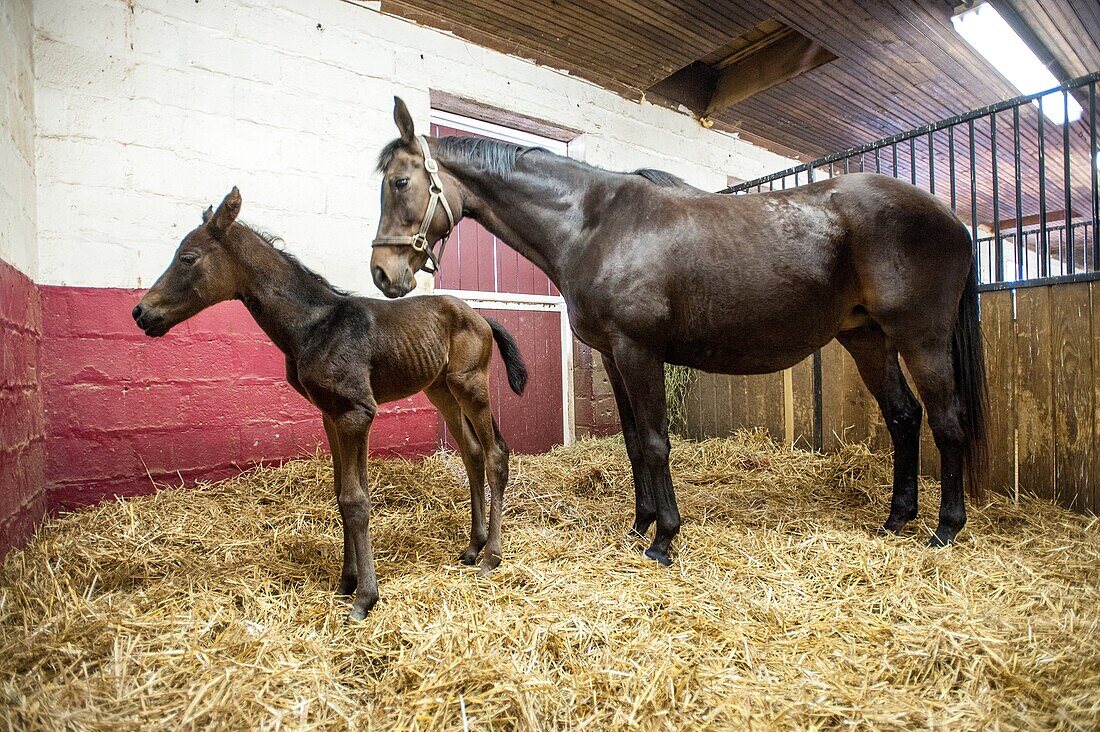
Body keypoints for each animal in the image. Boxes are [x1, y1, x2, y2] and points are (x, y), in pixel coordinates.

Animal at [133, 187, 528, 616]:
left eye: (188, 258)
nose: (141, 312)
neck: (314, 326)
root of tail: (483, 318)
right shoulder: (331, 414)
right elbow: (341, 494)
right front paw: (346, 581)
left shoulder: (356, 413)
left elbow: (355, 500)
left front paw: (364, 597)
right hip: (440, 390)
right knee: (472, 452)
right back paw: (472, 547)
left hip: (470, 384)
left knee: (495, 453)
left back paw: (491, 556)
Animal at [369, 96, 990, 563]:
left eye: (400, 182)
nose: (383, 273)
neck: (594, 223)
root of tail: (953, 221)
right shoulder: (614, 355)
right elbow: (632, 441)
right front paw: (639, 525)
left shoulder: (639, 350)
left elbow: (654, 440)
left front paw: (664, 539)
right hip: (867, 337)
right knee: (904, 416)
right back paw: (896, 520)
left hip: (921, 338)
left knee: (946, 419)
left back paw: (945, 528)